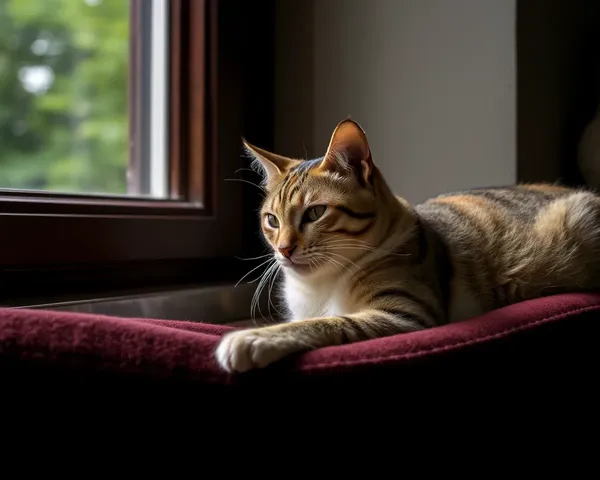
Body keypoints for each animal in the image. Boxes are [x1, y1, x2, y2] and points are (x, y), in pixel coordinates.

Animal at [214, 118, 600, 374]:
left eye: (315, 213)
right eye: (271, 220)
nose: (283, 250)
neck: (319, 286)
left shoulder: (405, 313)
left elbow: (330, 323)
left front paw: (254, 339)